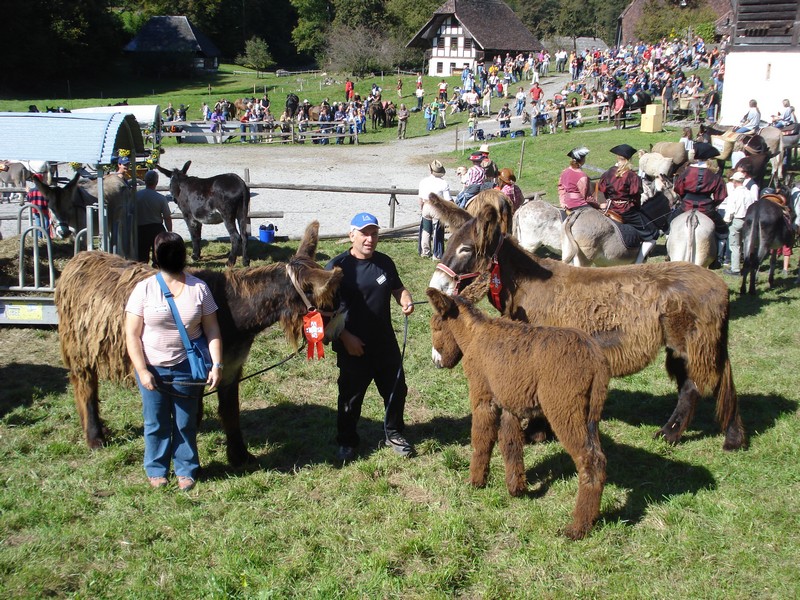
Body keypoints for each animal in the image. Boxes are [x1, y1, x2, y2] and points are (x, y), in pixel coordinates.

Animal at [55, 220, 344, 464]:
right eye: (329, 300)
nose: (340, 331)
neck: (232, 309)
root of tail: (79, 258)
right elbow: (190, 416)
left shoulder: (230, 367)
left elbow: (230, 411)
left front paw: (240, 457)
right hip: (80, 347)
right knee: (85, 386)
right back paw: (95, 437)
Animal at [428, 199, 748, 452]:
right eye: (448, 243)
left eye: (466, 249)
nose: (435, 285)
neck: (527, 287)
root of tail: (717, 283)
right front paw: (539, 432)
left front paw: (536, 432)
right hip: (689, 344)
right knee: (705, 383)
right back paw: (730, 437)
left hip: (692, 342)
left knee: (694, 386)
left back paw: (673, 435)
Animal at [428, 286, 608, 540]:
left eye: (435, 327)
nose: (437, 362)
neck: (474, 337)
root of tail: (595, 358)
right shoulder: (508, 405)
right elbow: (510, 445)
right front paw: (516, 488)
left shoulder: (483, 398)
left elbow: (481, 440)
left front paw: (475, 481)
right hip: (591, 415)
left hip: (565, 411)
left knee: (590, 460)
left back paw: (578, 528)